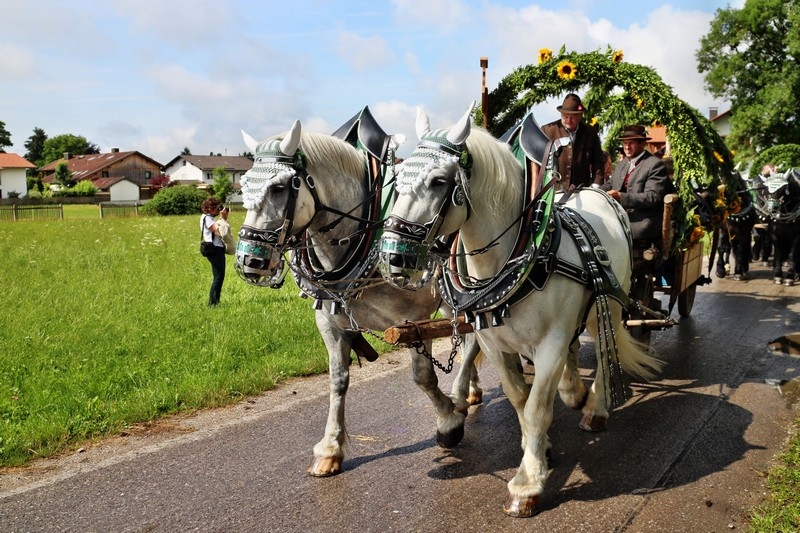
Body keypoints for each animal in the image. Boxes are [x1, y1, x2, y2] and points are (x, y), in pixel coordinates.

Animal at [233, 111, 482, 474]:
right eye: (243, 185)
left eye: (279, 187)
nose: (249, 260)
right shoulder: (330, 324)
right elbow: (337, 381)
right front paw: (330, 449)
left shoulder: (415, 321)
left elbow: (423, 377)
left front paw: (448, 422)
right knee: (466, 340)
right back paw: (472, 390)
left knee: (473, 339)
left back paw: (462, 394)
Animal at [378, 104, 660, 516]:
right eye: (396, 181)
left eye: (439, 181)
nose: (393, 257)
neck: (520, 258)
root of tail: (596, 192)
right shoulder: (494, 344)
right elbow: (518, 400)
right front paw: (536, 449)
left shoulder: (551, 343)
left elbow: (537, 407)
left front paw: (528, 483)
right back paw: (573, 390)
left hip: (605, 304)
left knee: (604, 353)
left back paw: (595, 407)